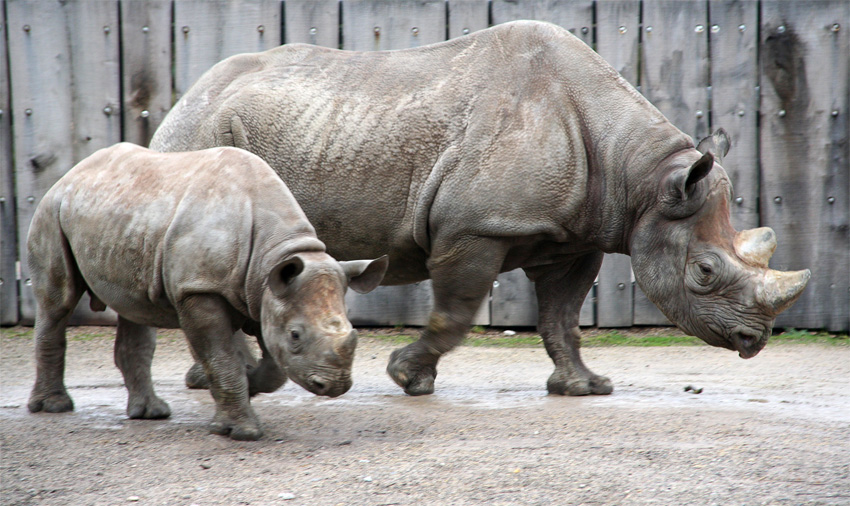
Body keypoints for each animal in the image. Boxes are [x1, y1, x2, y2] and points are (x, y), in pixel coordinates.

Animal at [152, 21, 808, 398]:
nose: (754, 341)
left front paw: (584, 388)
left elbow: (562, 318)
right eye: (704, 271)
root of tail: (187, 94)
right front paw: (408, 378)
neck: (642, 176)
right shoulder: (475, 228)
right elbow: (456, 312)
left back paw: (213, 378)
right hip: (202, 131)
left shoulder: (575, 238)